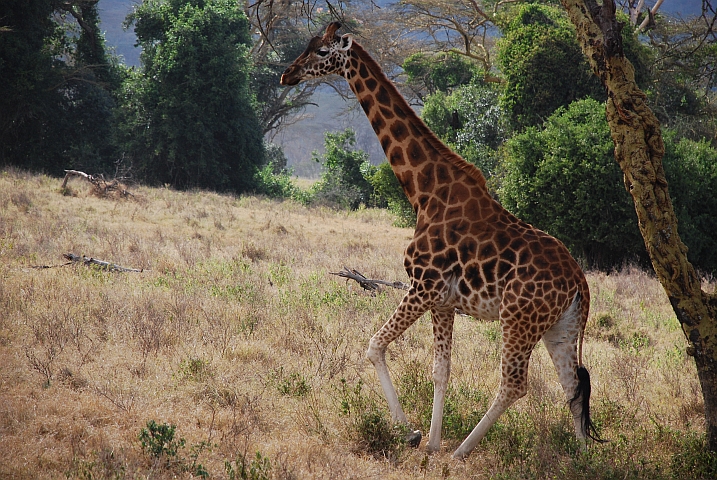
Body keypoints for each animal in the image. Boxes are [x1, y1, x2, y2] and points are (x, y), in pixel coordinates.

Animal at [281, 22, 600, 459]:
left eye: (322, 51)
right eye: (308, 45)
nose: (287, 75)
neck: (424, 191)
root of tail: (580, 283)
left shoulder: (423, 286)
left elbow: (374, 345)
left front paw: (410, 433)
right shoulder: (444, 301)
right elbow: (441, 370)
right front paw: (430, 441)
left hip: (518, 319)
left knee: (515, 384)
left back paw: (462, 451)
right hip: (559, 328)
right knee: (572, 385)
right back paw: (584, 461)